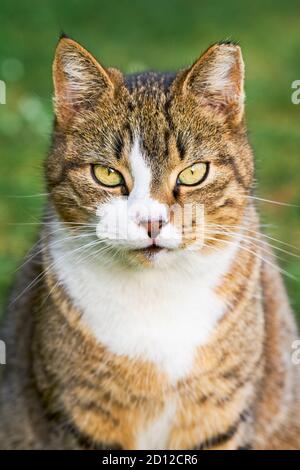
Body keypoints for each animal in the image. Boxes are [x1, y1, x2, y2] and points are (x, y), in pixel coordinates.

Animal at [0, 35, 300, 448]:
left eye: (193, 173)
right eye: (107, 174)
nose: (151, 221)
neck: (156, 293)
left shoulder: (218, 414)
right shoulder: (80, 414)